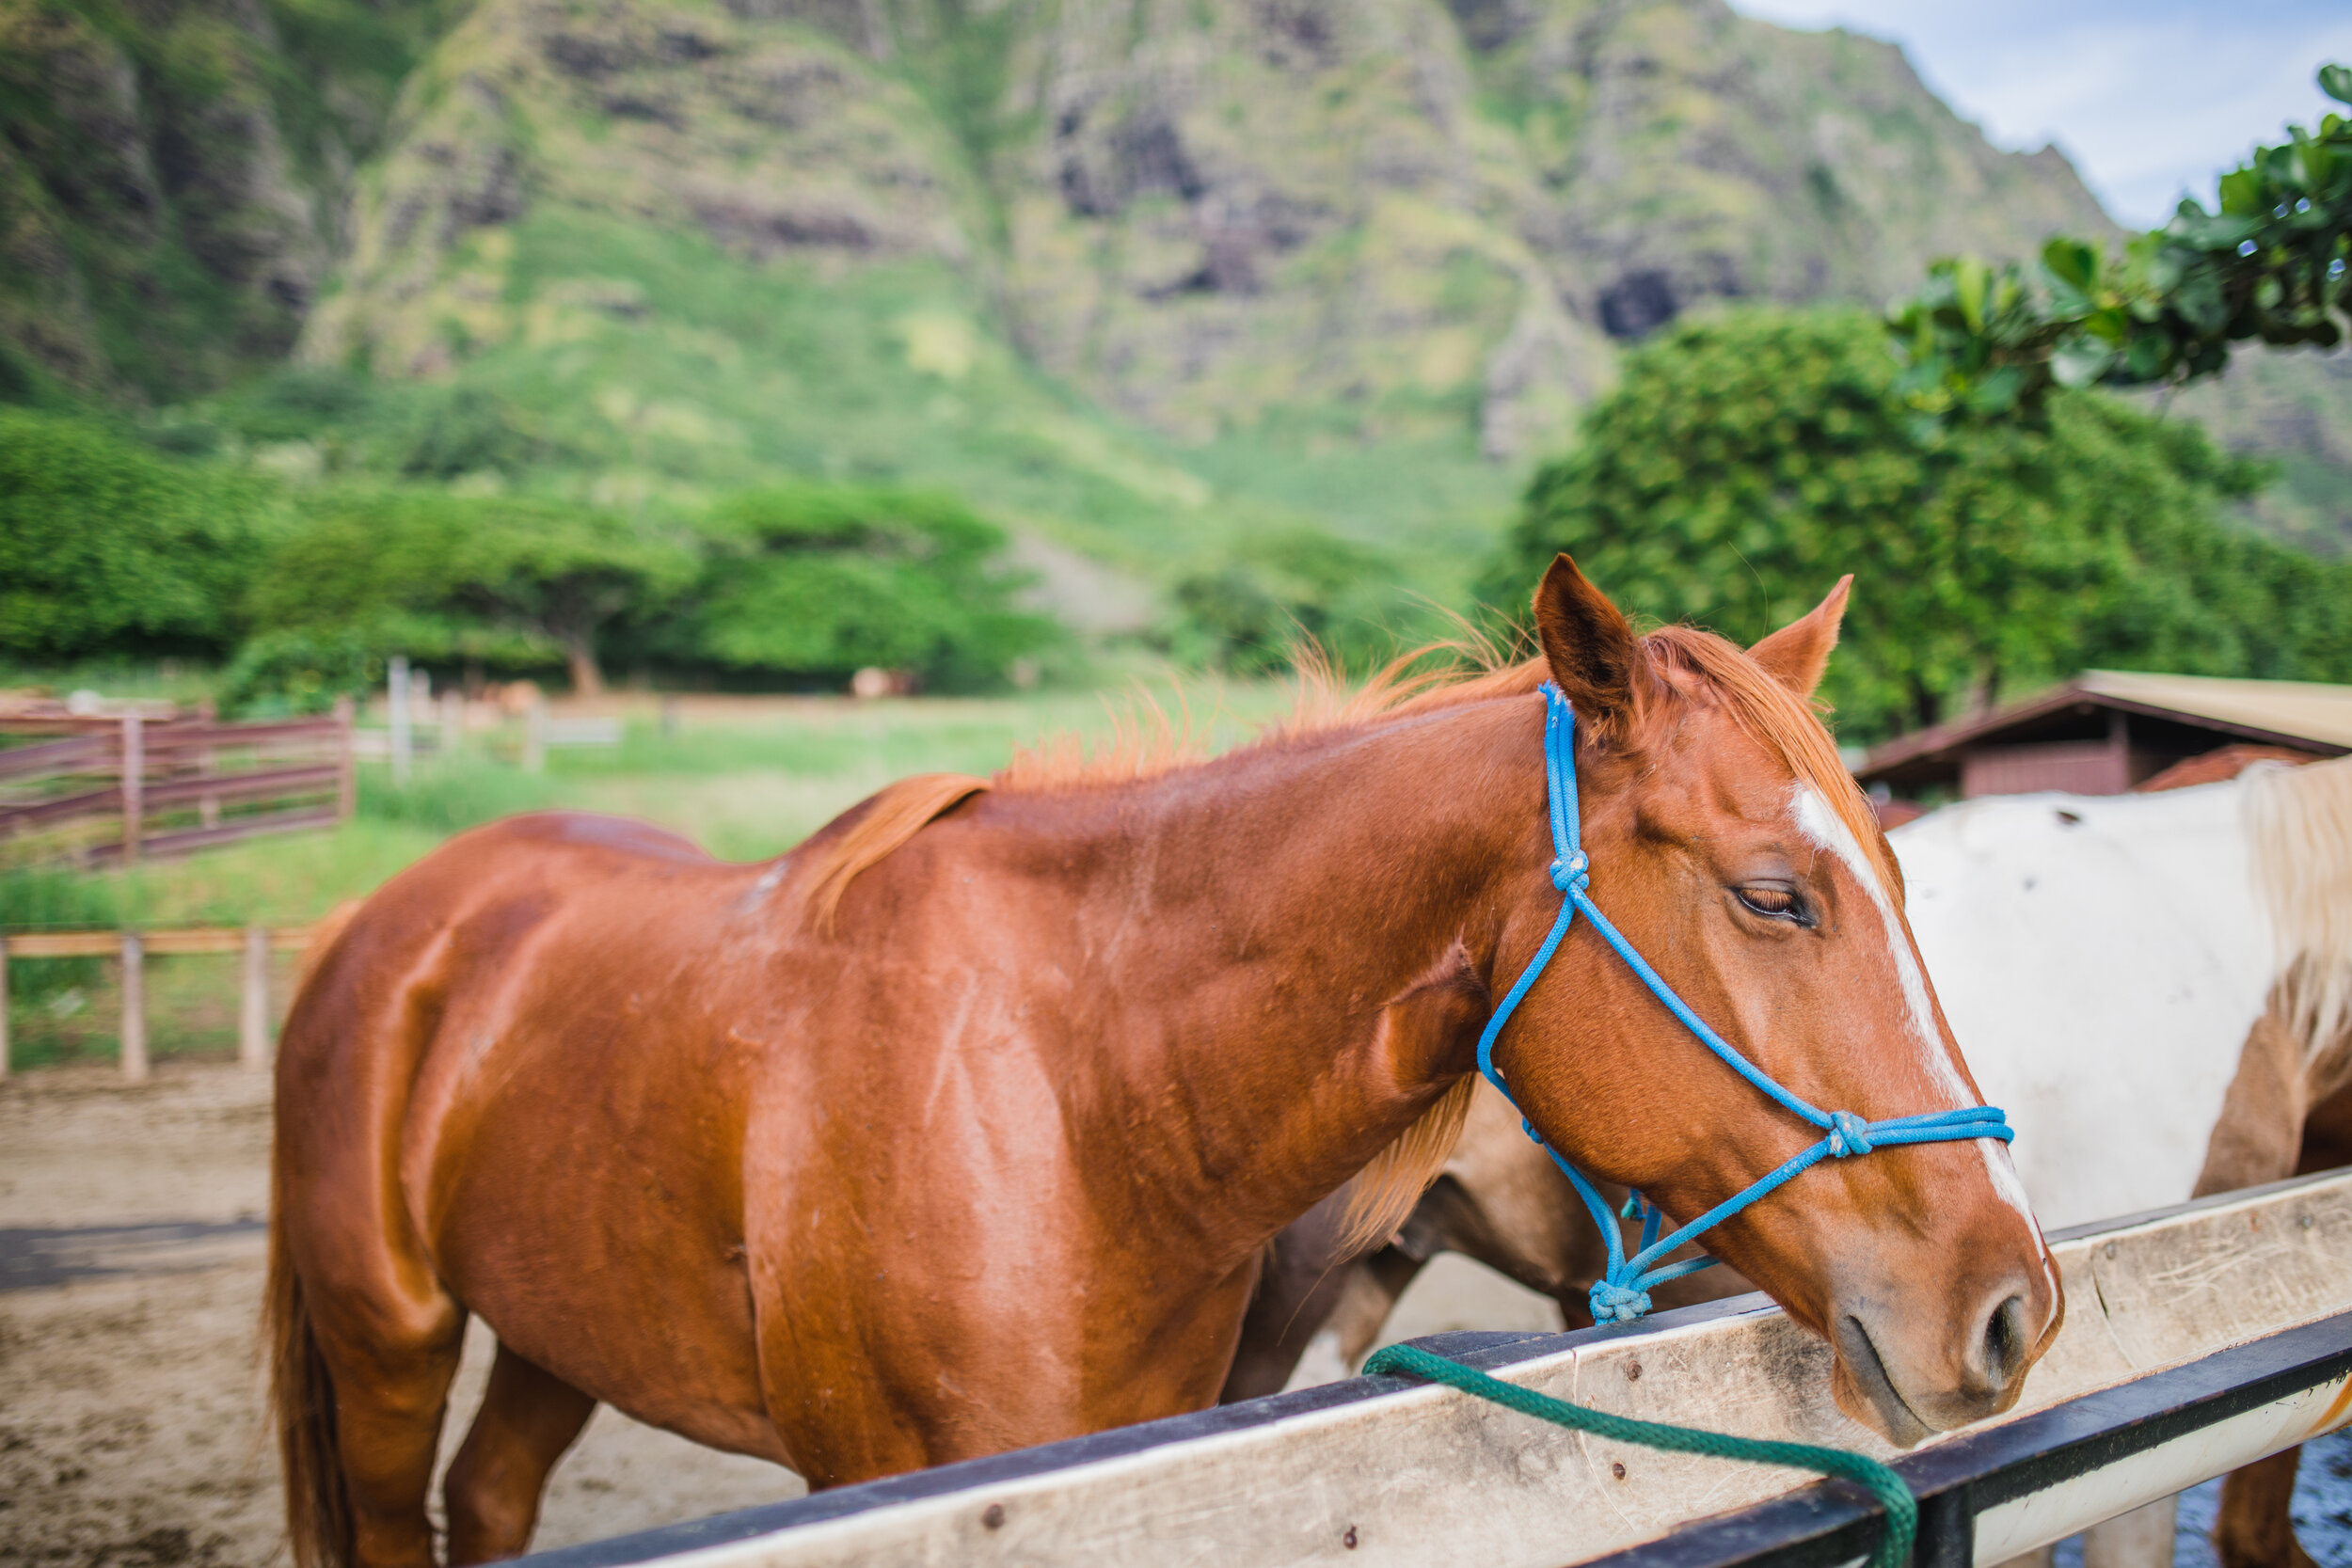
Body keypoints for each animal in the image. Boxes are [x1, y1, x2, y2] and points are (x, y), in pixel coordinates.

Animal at [266, 557, 2051, 1560]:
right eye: (1773, 893)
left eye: (1901, 872)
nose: (2012, 1301)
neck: (1073, 1101)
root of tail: (388, 916)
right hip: (389, 1345)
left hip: (553, 1329)